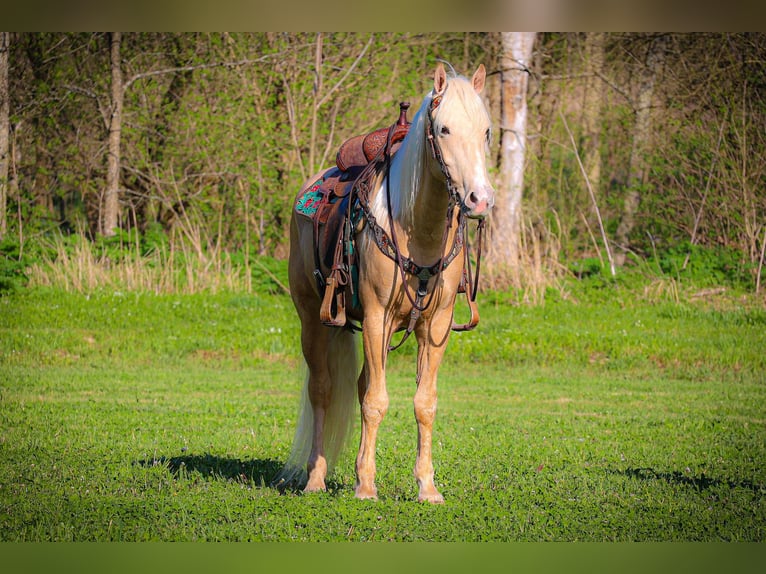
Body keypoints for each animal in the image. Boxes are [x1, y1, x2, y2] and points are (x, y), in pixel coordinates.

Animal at [280, 63, 496, 504]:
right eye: (443, 129)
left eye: (485, 130)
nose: (480, 199)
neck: (417, 226)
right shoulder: (376, 316)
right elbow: (376, 401)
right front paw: (366, 486)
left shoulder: (436, 325)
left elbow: (424, 403)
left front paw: (426, 486)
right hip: (312, 318)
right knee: (323, 390)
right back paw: (315, 478)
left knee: (361, 385)